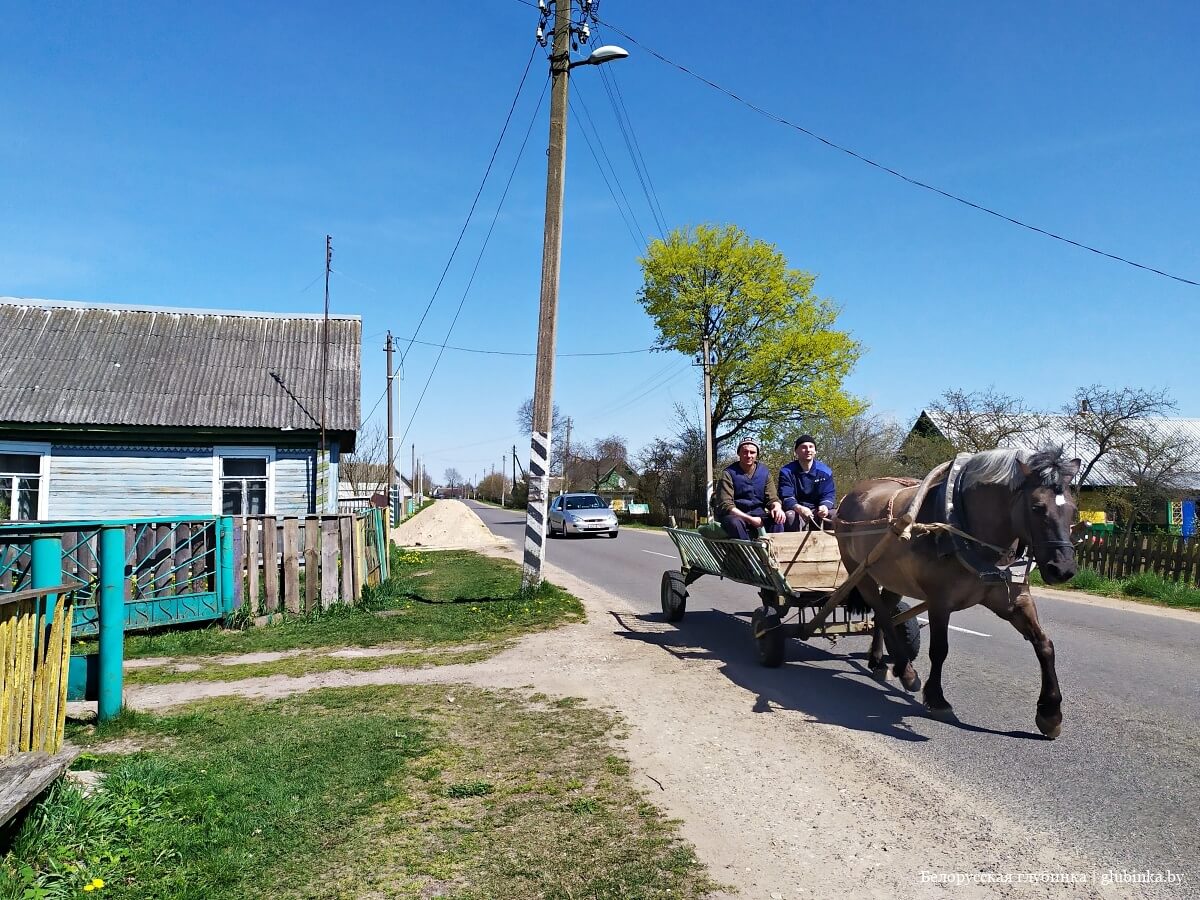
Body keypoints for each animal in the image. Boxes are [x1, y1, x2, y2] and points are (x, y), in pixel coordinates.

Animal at [835, 448, 1080, 739]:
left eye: (1073, 510)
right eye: (1037, 507)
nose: (1062, 569)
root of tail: (852, 495)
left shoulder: (1013, 600)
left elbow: (1044, 645)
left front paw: (1050, 713)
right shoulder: (940, 602)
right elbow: (940, 649)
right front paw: (937, 699)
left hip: (893, 577)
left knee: (884, 613)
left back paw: (878, 662)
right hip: (860, 572)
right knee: (882, 614)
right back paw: (906, 672)